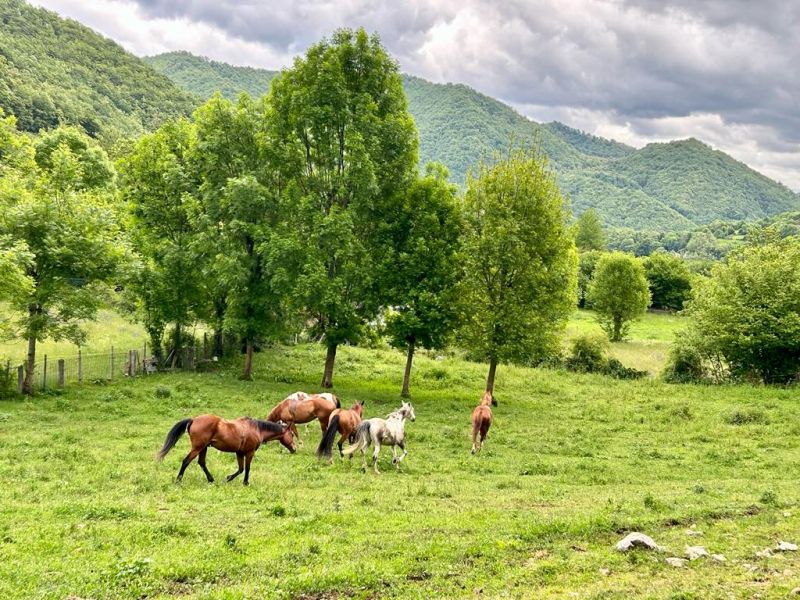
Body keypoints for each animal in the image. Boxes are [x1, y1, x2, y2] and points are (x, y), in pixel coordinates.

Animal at [155, 414, 296, 486]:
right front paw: (245, 482)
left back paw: (211, 479)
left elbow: (241, 469)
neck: (257, 429)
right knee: (186, 461)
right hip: (198, 448)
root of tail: (194, 419)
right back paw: (178, 480)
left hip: (203, 448)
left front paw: (228, 478)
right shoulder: (249, 452)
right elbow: (247, 468)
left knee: (202, 463)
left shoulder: (239, 453)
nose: (294, 449)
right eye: (292, 434)